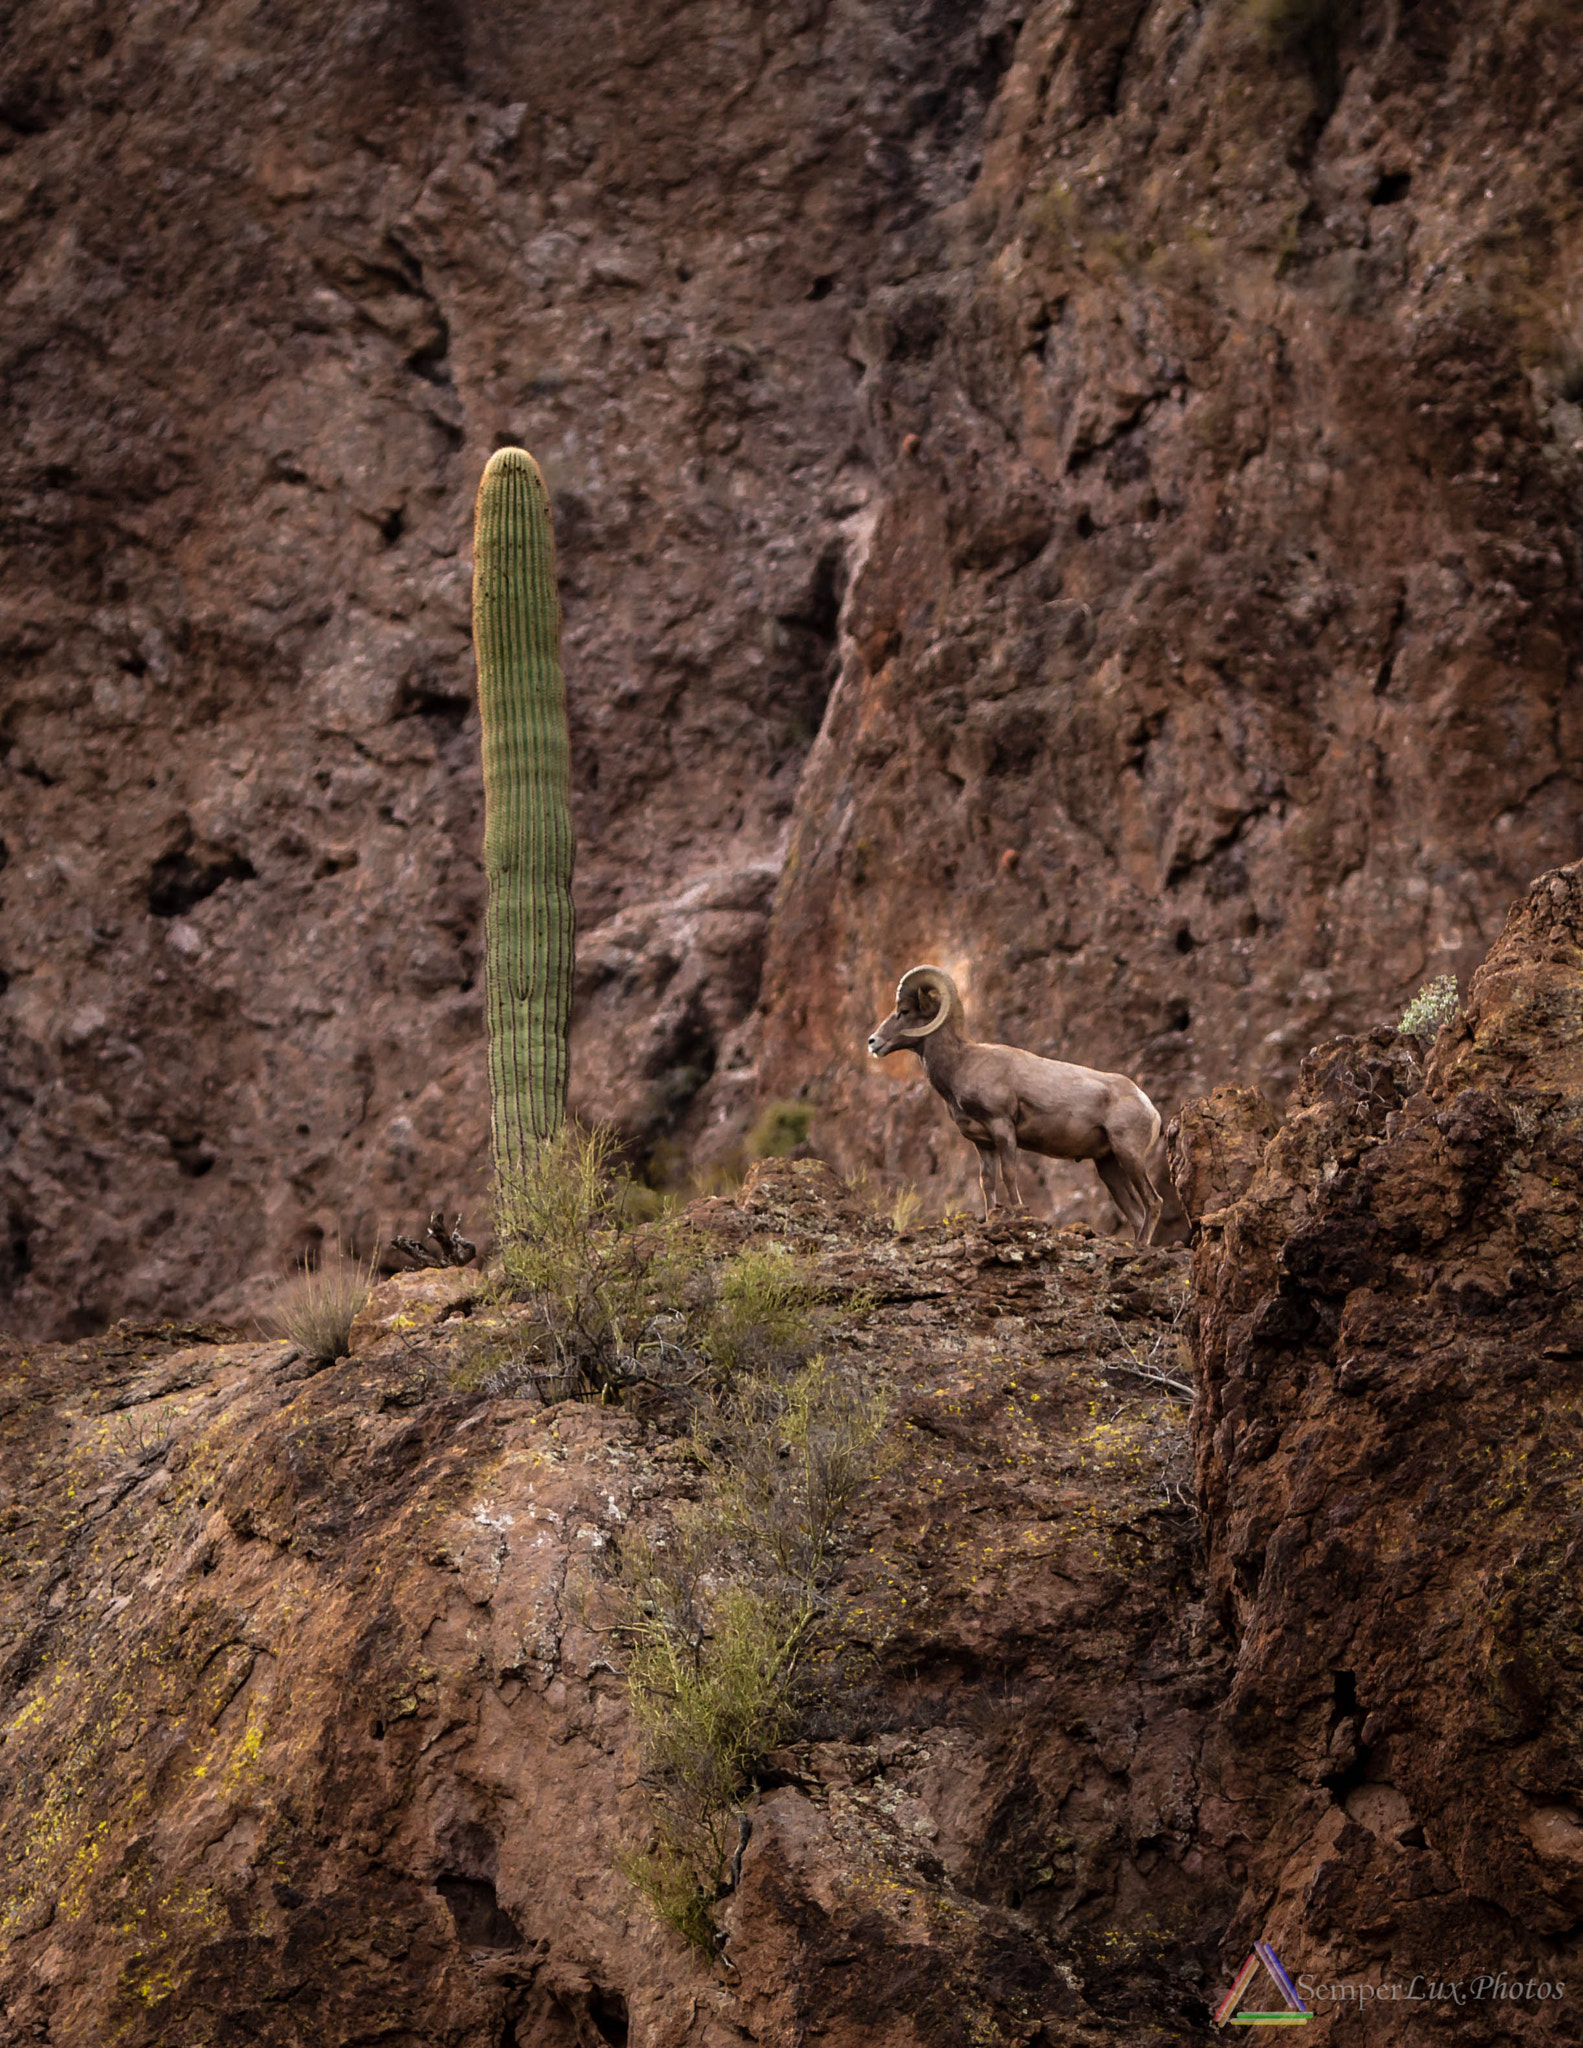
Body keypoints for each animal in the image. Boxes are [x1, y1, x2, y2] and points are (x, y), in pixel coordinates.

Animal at [866, 965, 1165, 1243]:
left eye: (904, 1011)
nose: (873, 1042)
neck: (962, 1063)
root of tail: (1150, 1108)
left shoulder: (1002, 1128)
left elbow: (1009, 1174)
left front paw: (1019, 1214)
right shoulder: (983, 1143)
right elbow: (987, 1181)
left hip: (1129, 1154)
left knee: (1154, 1202)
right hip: (1108, 1165)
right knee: (1136, 1214)